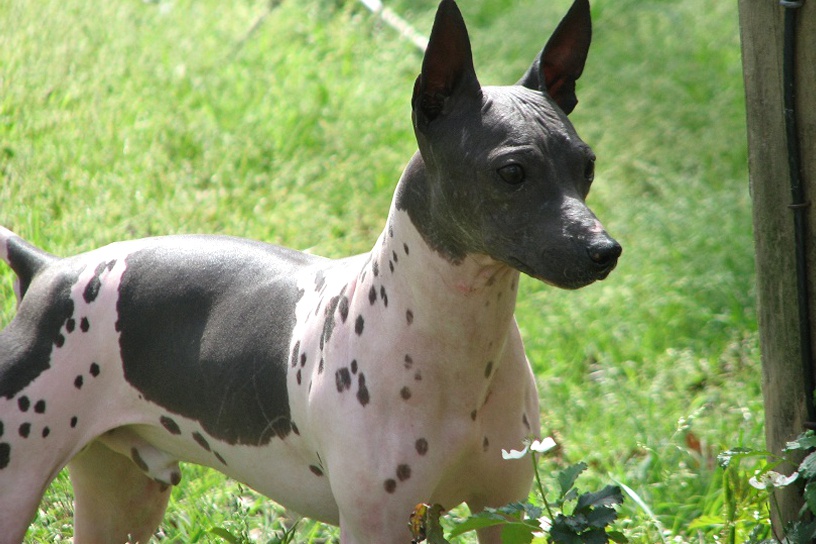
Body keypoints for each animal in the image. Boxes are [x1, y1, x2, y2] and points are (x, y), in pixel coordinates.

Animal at [0, 2, 620, 540]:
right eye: (512, 172)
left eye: (587, 166)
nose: (605, 250)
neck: (458, 342)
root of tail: (48, 270)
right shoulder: (376, 525)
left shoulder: (504, 512)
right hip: (17, 480)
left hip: (123, 492)